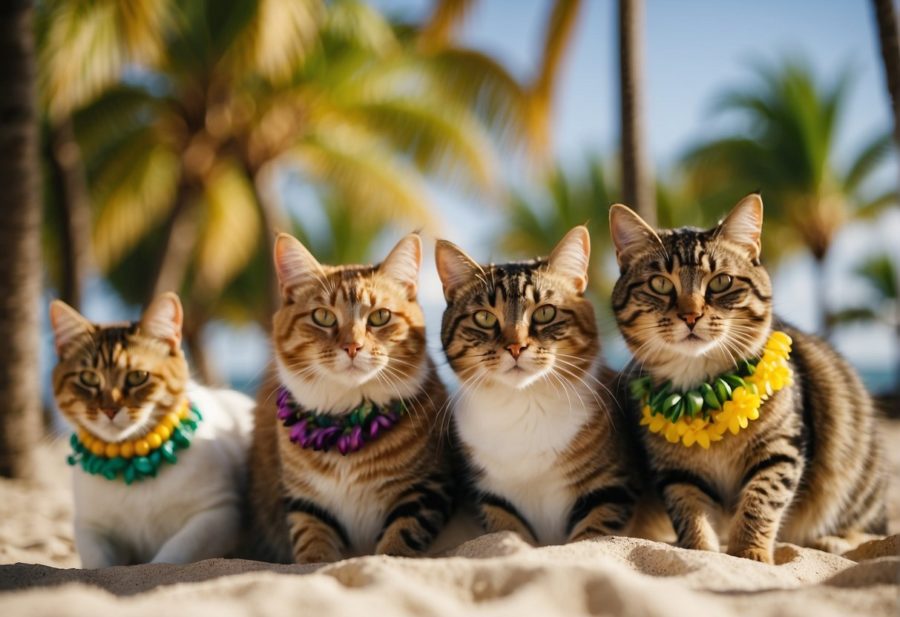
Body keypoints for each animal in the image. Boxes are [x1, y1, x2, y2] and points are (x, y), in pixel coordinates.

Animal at [50, 294, 253, 568]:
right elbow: (98, 564)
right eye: (88, 379)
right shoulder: (91, 526)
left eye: (138, 377)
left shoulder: (219, 513)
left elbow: (170, 556)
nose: (110, 410)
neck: (134, 463)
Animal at [246, 231, 454, 564]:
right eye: (323, 317)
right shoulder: (307, 504)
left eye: (380, 316)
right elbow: (312, 545)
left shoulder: (427, 488)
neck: (347, 419)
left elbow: (399, 540)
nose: (353, 346)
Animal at [434, 226, 640, 544]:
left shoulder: (611, 489)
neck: (525, 404)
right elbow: (508, 537)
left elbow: (589, 537)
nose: (515, 347)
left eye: (545, 313)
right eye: (484, 317)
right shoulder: (493, 499)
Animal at [608, 195, 888, 560]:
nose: (690, 315)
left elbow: (760, 503)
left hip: (856, 484)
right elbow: (691, 516)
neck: (701, 389)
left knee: (872, 528)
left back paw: (833, 540)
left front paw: (750, 553)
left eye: (721, 282)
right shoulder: (677, 474)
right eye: (660, 284)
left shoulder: (780, 450)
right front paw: (702, 552)